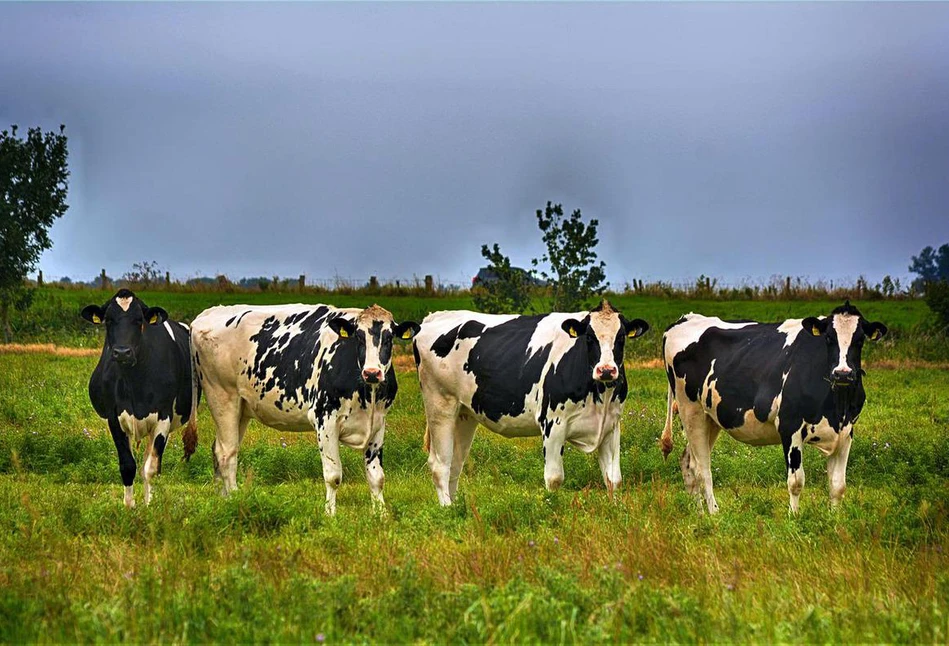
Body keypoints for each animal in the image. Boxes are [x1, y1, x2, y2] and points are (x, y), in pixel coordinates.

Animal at [81, 292, 198, 508]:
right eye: (108, 320)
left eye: (138, 320)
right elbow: (127, 465)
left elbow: (150, 467)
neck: (134, 381)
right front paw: (129, 507)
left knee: (152, 462)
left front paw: (149, 505)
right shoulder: (114, 418)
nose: (122, 352)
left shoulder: (163, 417)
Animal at [189, 304, 418, 516]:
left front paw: (381, 515)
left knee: (219, 449)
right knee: (227, 453)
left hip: (241, 408)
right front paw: (330, 515)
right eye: (359, 338)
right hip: (222, 397)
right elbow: (333, 476)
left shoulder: (378, 422)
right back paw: (235, 499)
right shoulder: (325, 420)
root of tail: (207, 313)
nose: (372, 372)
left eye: (389, 338)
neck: (367, 393)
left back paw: (222, 500)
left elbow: (377, 477)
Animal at [412, 298, 648, 506]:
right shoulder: (552, 423)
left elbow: (614, 479)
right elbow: (554, 479)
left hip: (464, 414)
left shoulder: (611, 425)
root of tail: (434, 317)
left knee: (455, 463)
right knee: (439, 464)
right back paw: (447, 509)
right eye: (589, 337)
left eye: (621, 338)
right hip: (440, 404)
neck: (600, 394)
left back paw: (457, 506)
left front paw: (615, 510)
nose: (606, 370)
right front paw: (553, 509)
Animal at [660, 302, 888, 516]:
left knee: (688, 462)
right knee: (702, 468)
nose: (843, 373)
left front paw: (834, 520)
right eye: (829, 338)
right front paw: (794, 518)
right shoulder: (790, 426)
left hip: (711, 418)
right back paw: (714, 513)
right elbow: (796, 482)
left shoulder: (846, 431)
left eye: (860, 340)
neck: (837, 407)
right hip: (691, 410)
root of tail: (686, 318)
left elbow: (838, 485)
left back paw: (698, 513)